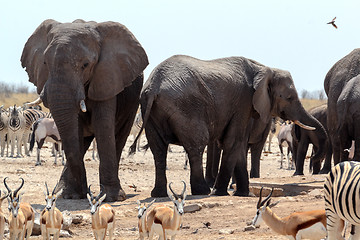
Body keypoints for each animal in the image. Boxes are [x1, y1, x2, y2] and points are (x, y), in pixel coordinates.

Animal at [21, 19, 148, 202]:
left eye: (86, 65)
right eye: (45, 63)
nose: (84, 192)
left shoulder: (107, 78)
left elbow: (103, 125)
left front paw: (112, 197)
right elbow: (76, 130)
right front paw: (71, 195)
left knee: (119, 136)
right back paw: (62, 191)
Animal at [129, 54, 326, 197]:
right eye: (290, 98)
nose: (312, 167)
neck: (265, 68)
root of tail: (153, 86)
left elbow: (238, 144)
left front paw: (243, 194)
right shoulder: (243, 102)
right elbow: (233, 141)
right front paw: (220, 192)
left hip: (151, 111)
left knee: (158, 150)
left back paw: (159, 194)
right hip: (186, 108)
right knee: (196, 145)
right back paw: (203, 191)